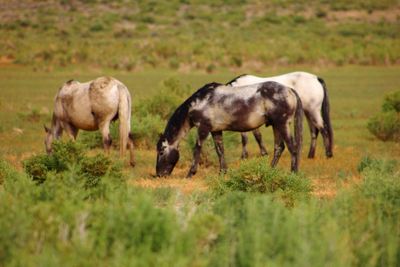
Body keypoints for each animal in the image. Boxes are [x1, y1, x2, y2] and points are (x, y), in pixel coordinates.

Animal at [156, 81, 304, 178]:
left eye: (162, 151)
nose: (158, 174)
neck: (199, 102)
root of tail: (289, 90)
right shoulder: (215, 131)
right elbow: (220, 150)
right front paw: (222, 172)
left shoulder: (203, 128)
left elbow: (197, 149)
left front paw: (191, 173)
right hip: (276, 125)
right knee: (279, 147)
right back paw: (270, 171)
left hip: (282, 124)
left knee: (293, 147)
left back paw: (293, 173)